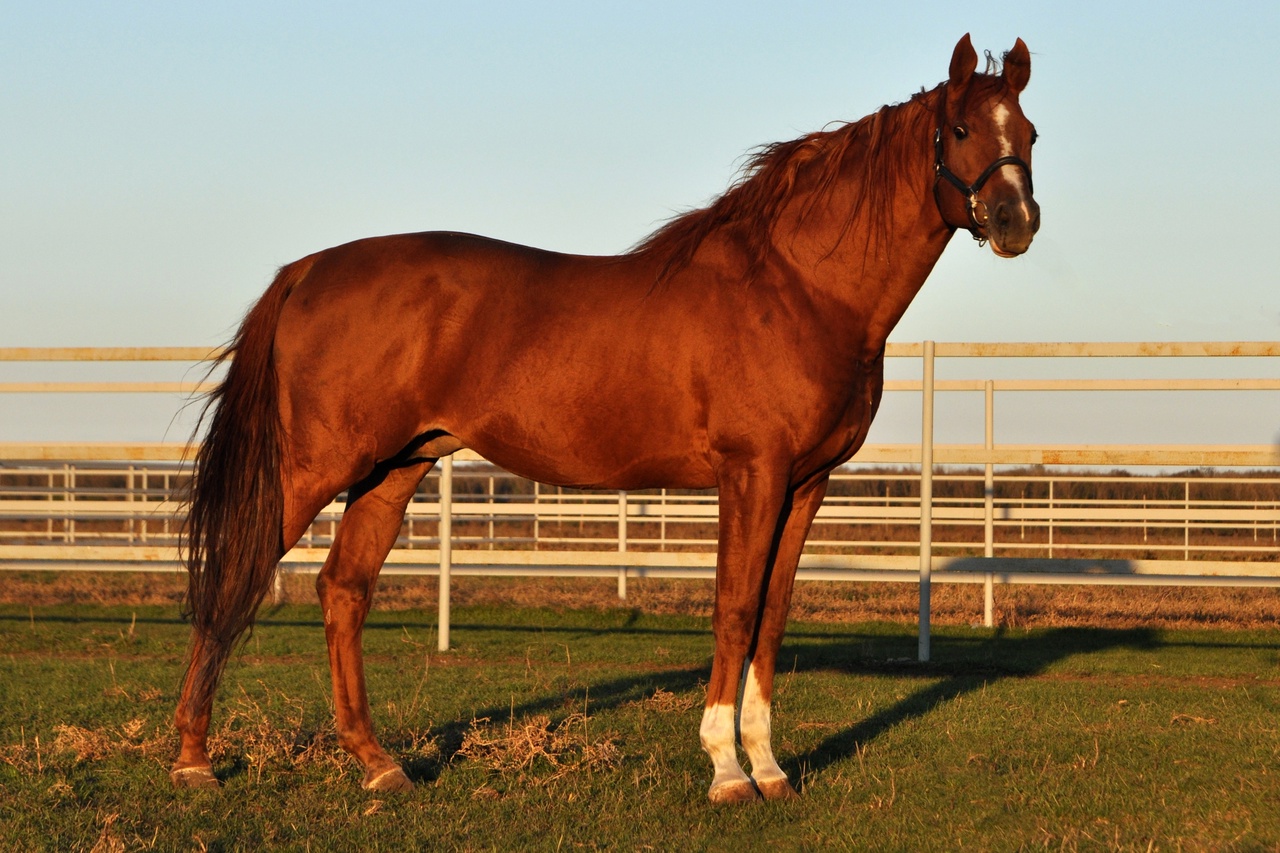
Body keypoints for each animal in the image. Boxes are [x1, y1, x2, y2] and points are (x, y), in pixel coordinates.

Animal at [172, 33, 1039, 799]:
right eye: (962, 129)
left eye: (1028, 133)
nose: (1016, 221)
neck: (797, 286)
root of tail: (308, 268)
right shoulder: (752, 474)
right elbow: (735, 608)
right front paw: (726, 771)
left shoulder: (807, 482)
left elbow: (773, 614)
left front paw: (769, 768)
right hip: (316, 466)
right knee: (238, 569)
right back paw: (193, 761)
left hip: (396, 467)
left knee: (344, 590)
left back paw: (379, 764)